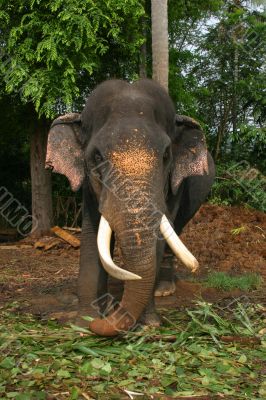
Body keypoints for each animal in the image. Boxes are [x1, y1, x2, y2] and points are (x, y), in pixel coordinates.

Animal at [45, 78, 215, 334]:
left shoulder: (172, 185)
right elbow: (91, 234)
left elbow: (160, 234)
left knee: (175, 231)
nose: (102, 320)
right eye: (96, 157)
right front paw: (84, 322)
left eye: (166, 155)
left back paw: (164, 289)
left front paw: (149, 323)